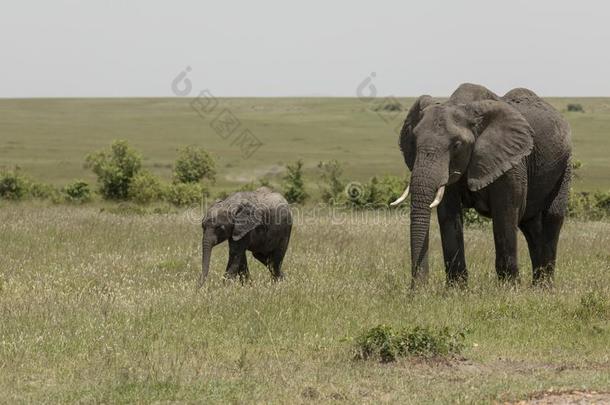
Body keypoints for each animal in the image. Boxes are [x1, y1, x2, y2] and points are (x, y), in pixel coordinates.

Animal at [390, 83, 568, 288]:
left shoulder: (511, 161)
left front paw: (509, 289)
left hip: (565, 165)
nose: (417, 289)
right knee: (531, 226)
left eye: (457, 145)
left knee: (552, 218)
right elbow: (448, 214)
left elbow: (506, 212)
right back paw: (537, 286)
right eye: (414, 140)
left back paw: (543, 288)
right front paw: (456, 290)